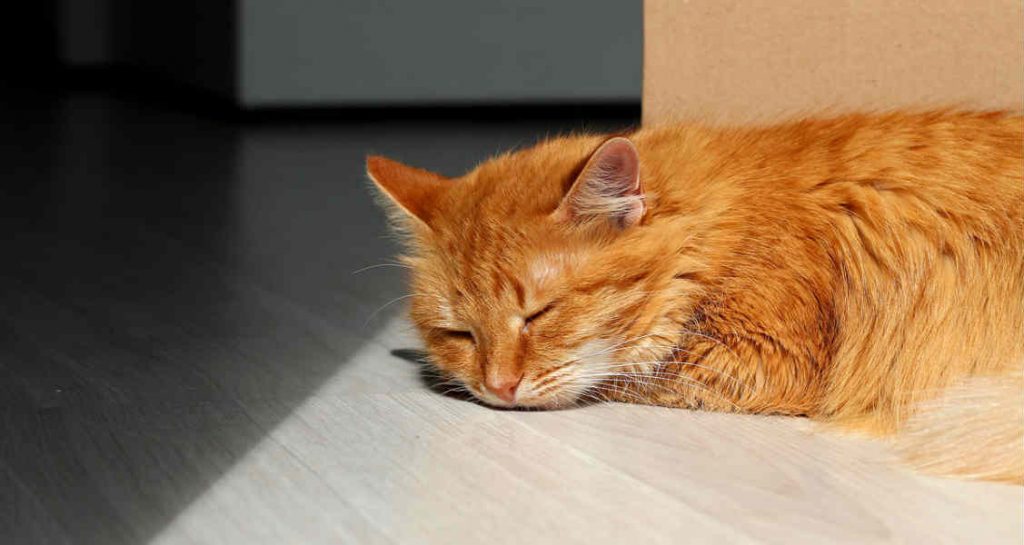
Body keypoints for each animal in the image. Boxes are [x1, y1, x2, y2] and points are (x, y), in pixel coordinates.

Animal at [368, 109, 1024, 481]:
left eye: (539, 314)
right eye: (460, 333)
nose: (498, 388)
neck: (711, 226)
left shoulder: (773, 360)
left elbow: (634, 374)